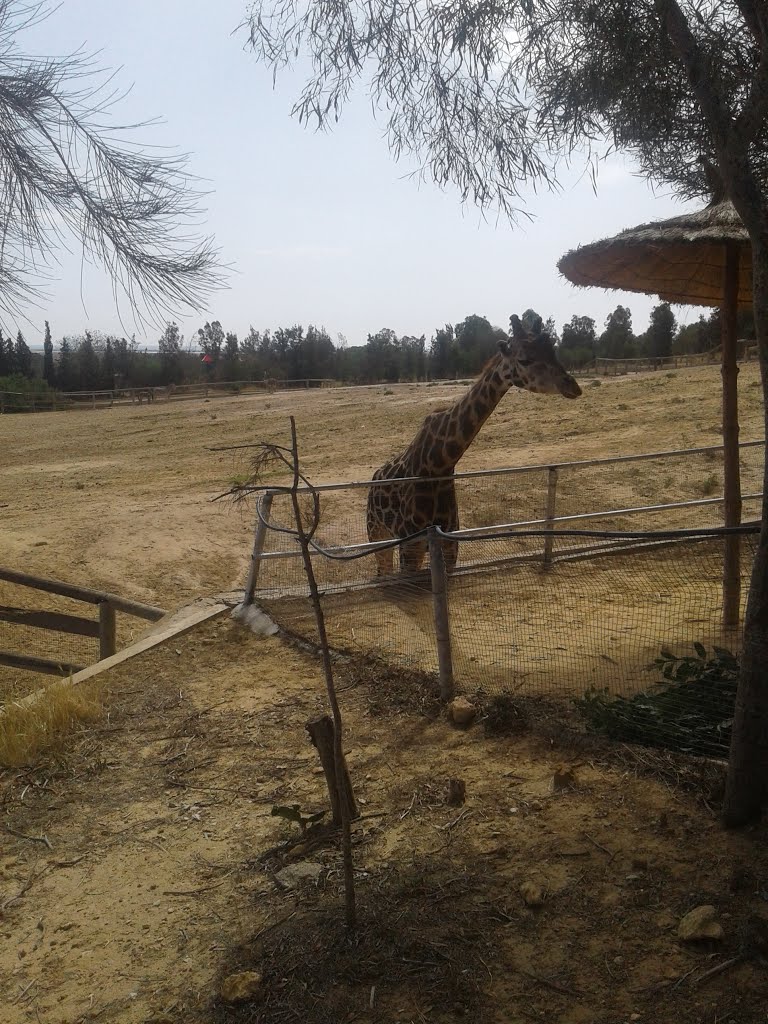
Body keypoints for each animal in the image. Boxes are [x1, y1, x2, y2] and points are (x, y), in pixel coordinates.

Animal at [366, 311, 581, 577]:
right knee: (383, 570)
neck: (440, 464)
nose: (573, 386)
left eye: (552, 351)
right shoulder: (410, 547)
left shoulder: (450, 544)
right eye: (524, 359)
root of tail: (374, 478)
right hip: (377, 532)